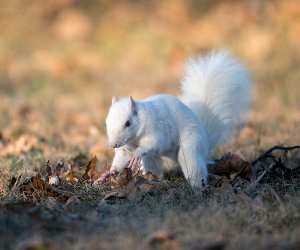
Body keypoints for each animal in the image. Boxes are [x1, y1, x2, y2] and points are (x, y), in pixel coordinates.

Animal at [104, 49, 252, 188]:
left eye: (127, 123)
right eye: (106, 123)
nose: (113, 145)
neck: (134, 139)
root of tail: (205, 142)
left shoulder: (156, 129)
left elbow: (152, 143)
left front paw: (137, 154)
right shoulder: (125, 148)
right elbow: (121, 158)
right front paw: (109, 172)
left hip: (190, 148)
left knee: (193, 167)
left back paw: (197, 187)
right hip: (153, 159)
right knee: (154, 167)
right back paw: (152, 179)